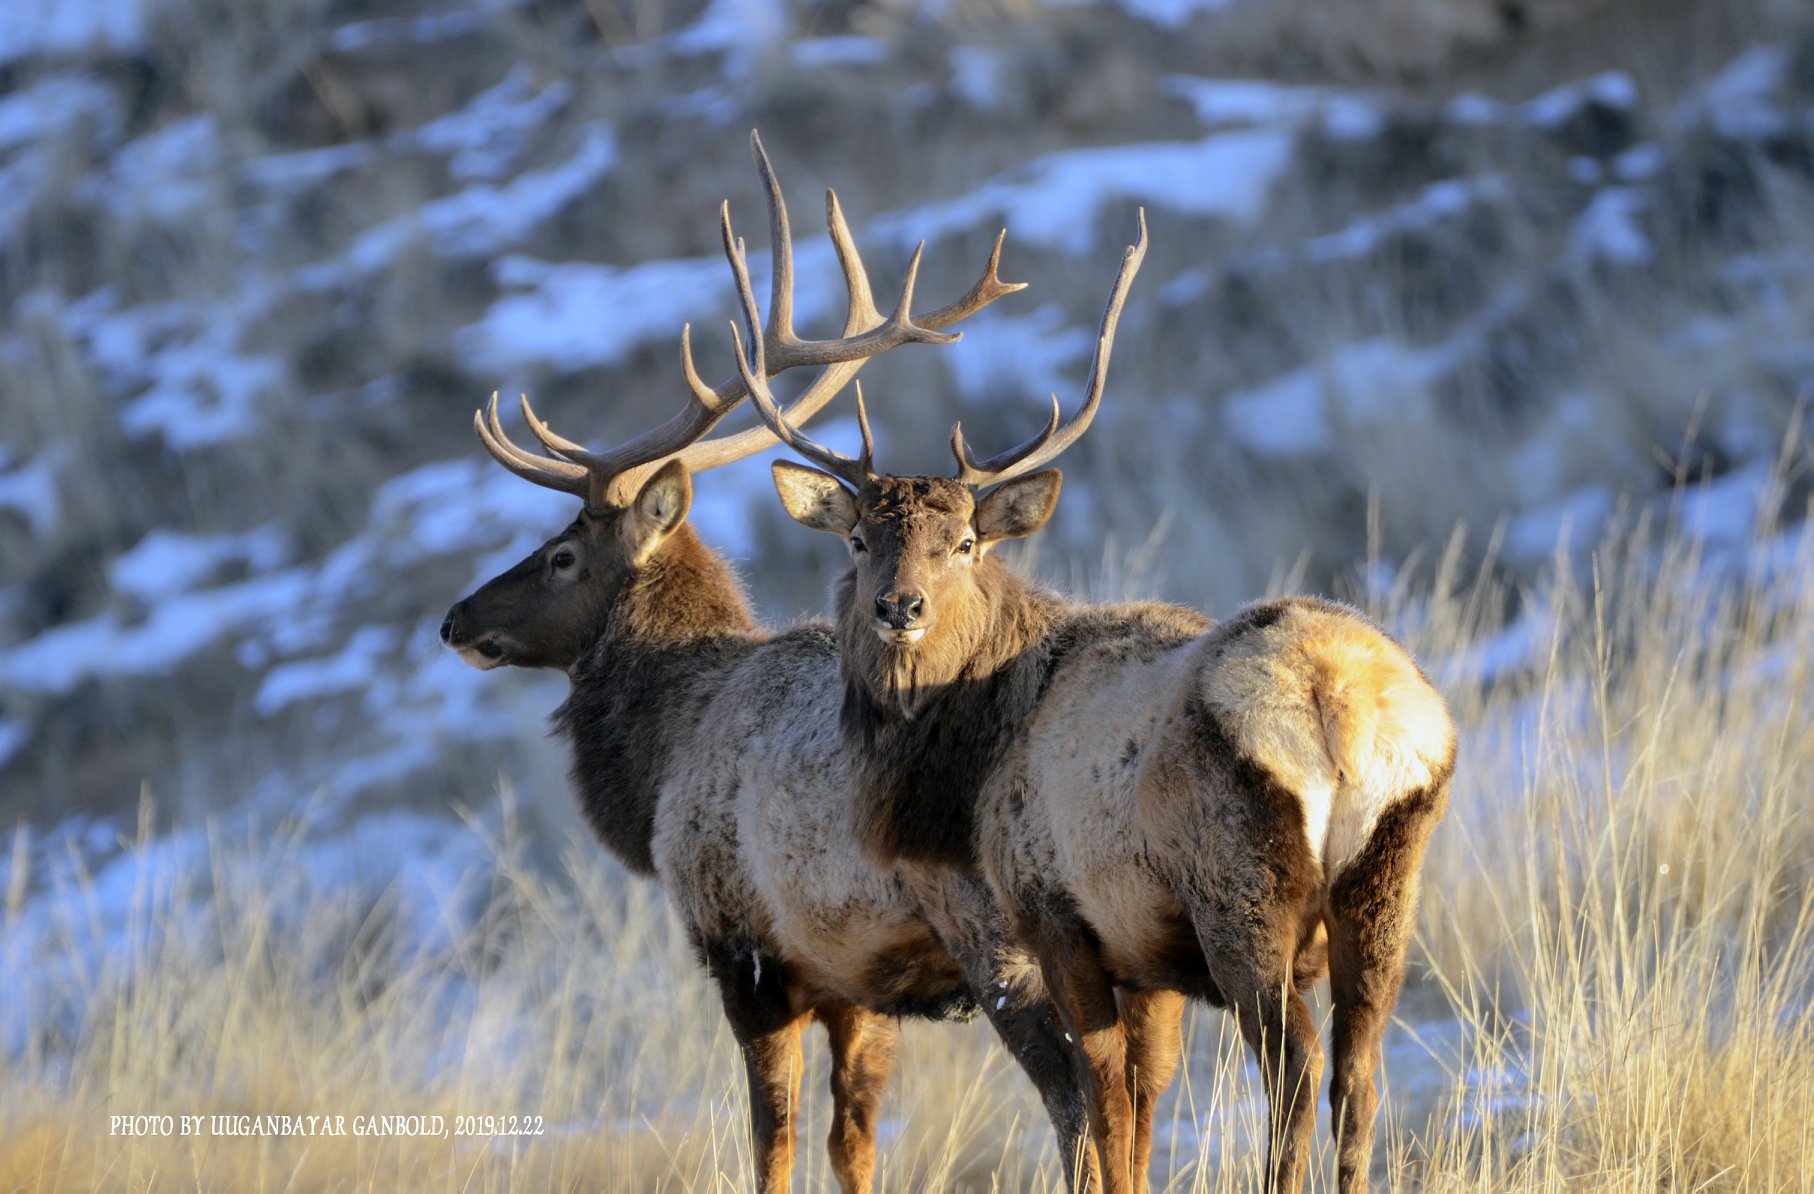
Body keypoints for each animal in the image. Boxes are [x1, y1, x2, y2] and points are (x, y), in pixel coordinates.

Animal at [440, 134, 1172, 1192]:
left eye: (561, 555)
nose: (457, 619)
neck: (665, 748)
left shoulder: (743, 945)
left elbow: (774, 1141)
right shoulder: (859, 983)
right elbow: (852, 1144)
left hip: (1008, 934)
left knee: (1084, 1106)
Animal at [733, 209, 1458, 1193]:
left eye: (966, 541)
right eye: (857, 538)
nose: (898, 607)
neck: (970, 761)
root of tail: (1333, 700)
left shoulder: (1054, 914)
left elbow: (1101, 1102)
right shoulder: (1145, 960)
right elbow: (1141, 1104)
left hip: (1239, 883)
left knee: (1296, 1066)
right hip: (1391, 874)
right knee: (1363, 1070)